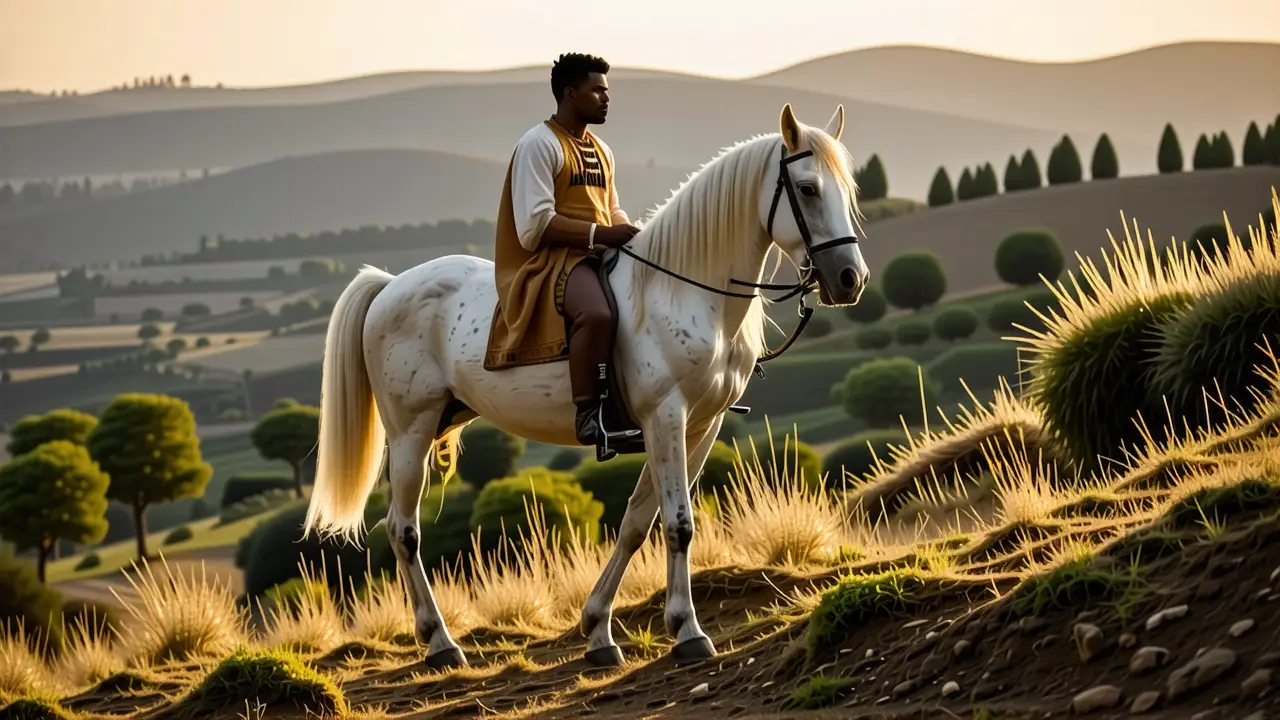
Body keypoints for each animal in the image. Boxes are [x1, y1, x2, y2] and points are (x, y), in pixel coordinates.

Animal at [302, 102, 871, 670]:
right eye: (807, 189)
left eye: (847, 190)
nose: (850, 279)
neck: (681, 290)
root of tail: (389, 286)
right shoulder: (665, 418)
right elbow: (678, 524)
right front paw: (688, 631)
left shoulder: (700, 426)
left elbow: (638, 522)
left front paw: (599, 629)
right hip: (410, 433)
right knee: (404, 530)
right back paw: (441, 643)